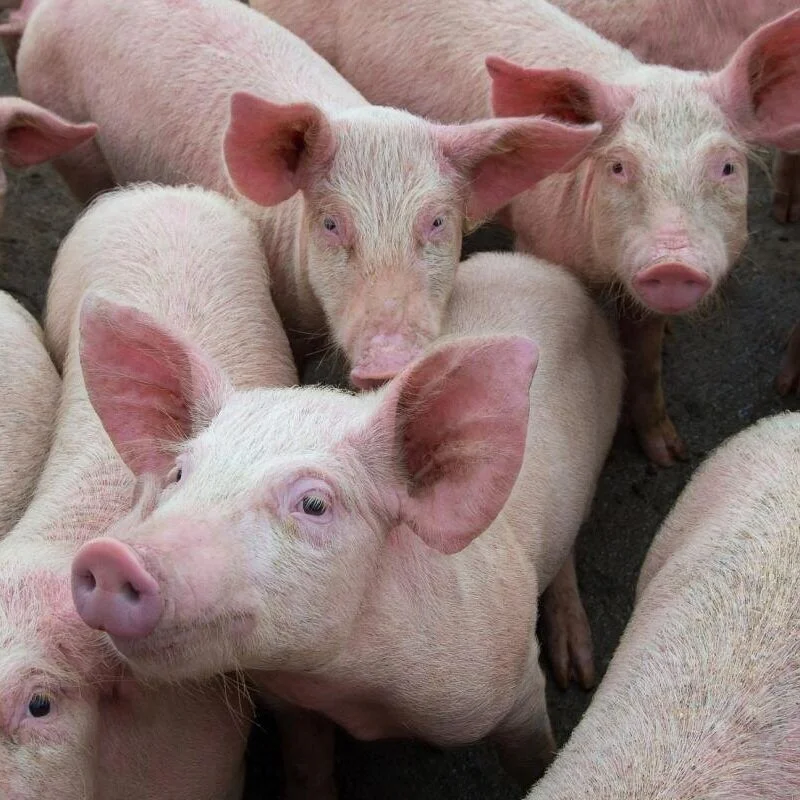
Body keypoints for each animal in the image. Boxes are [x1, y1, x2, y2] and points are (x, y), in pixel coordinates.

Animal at [70, 250, 623, 797]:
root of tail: (534, 264)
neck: (348, 691)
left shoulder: (514, 684)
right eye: (180, 474)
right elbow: (306, 765)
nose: (111, 556)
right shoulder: (292, 705)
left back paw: (577, 669)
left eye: (315, 504)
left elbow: (534, 755)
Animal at [248, 0, 800, 466]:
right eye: (619, 166)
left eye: (726, 166)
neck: (603, 271)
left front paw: (672, 456)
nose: (673, 263)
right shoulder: (539, 236)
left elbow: (646, 363)